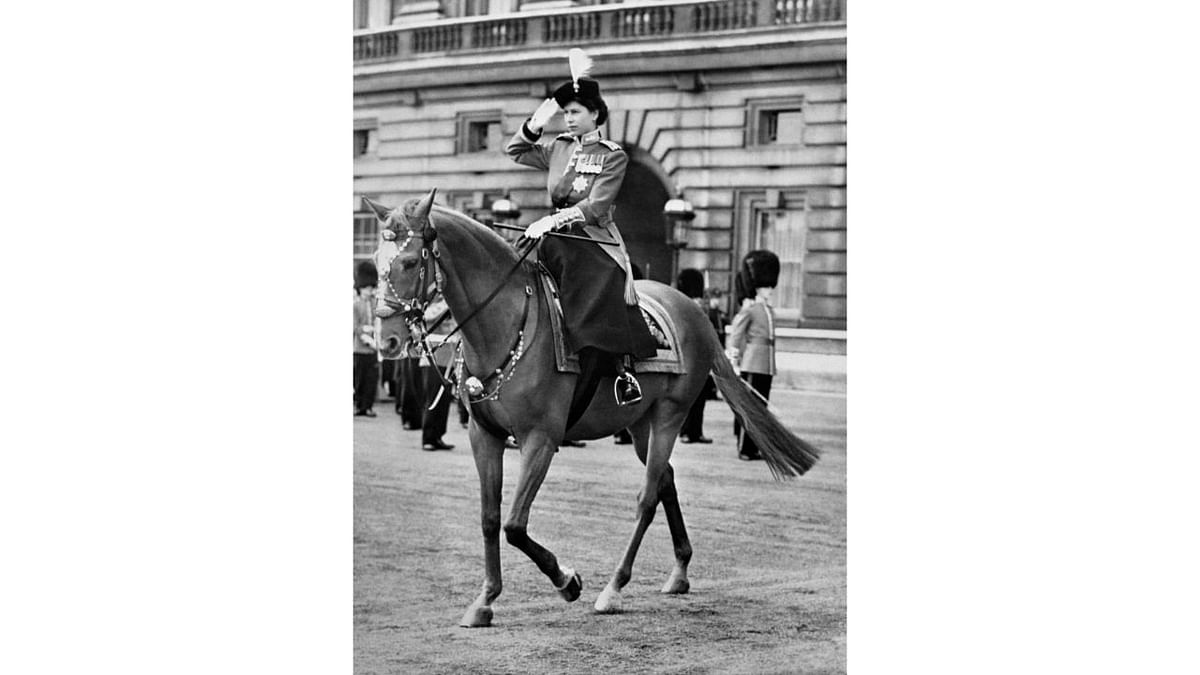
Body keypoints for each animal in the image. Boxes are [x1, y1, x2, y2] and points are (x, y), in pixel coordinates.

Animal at [360, 187, 820, 624]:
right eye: (375, 259)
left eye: (409, 262)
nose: (388, 341)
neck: (502, 325)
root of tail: (693, 310)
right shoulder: (484, 435)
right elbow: (491, 519)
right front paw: (486, 599)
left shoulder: (540, 440)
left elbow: (514, 524)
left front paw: (566, 581)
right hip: (639, 423)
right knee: (666, 480)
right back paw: (679, 571)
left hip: (670, 415)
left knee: (648, 496)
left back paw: (614, 588)